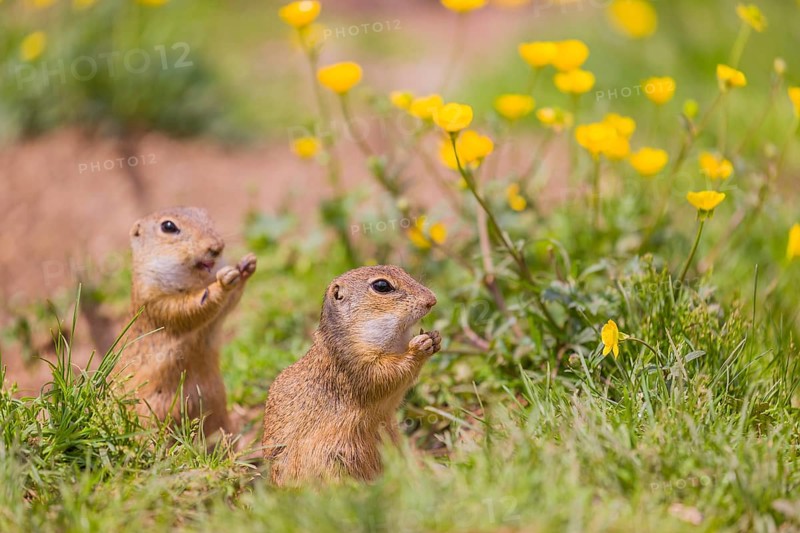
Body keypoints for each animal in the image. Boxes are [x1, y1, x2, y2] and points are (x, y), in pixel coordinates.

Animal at [117, 207, 256, 436]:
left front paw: (247, 264)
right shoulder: (156, 300)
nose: (217, 247)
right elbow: (190, 308)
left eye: (205, 214)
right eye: (168, 226)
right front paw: (224, 281)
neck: (195, 280)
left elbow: (228, 304)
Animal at [262, 265, 440, 486]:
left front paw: (434, 337)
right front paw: (419, 347)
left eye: (401, 270)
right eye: (382, 286)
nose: (432, 300)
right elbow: (387, 376)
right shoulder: (357, 365)